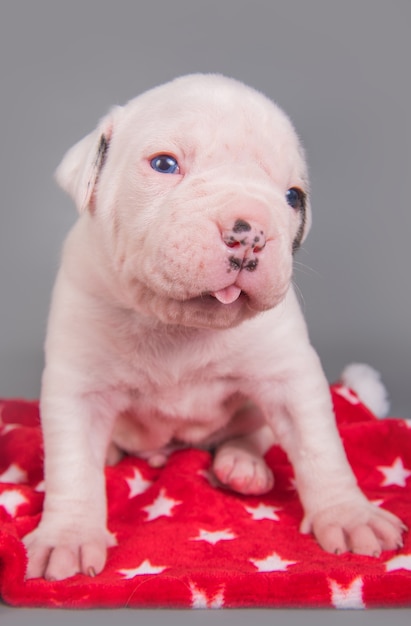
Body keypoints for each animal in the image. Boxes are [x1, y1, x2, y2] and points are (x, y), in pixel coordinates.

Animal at [25, 75, 406, 576]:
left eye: (293, 197)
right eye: (164, 164)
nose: (252, 233)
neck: (176, 323)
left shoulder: (290, 376)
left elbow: (319, 446)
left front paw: (350, 515)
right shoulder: (77, 384)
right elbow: (71, 465)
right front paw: (66, 537)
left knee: (256, 432)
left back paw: (243, 465)